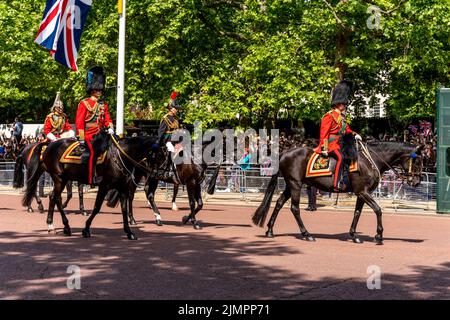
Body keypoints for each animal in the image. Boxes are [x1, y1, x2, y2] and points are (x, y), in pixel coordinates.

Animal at [23, 131, 158, 240]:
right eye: (157, 154)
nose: (156, 175)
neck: (120, 156)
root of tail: (48, 146)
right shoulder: (104, 185)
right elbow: (96, 207)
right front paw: (86, 229)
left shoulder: (122, 187)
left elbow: (124, 210)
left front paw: (129, 232)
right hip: (59, 177)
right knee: (55, 197)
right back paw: (65, 226)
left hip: (62, 178)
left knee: (52, 196)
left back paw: (51, 225)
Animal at [251, 138, 424, 245]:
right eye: (417, 161)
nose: (416, 182)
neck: (369, 160)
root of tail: (284, 152)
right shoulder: (363, 192)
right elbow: (378, 210)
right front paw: (379, 236)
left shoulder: (361, 193)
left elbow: (357, 213)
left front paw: (354, 235)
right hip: (295, 184)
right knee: (294, 208)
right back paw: (307, 234)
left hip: (291, 185)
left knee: (279, 203)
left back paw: (270, 230)